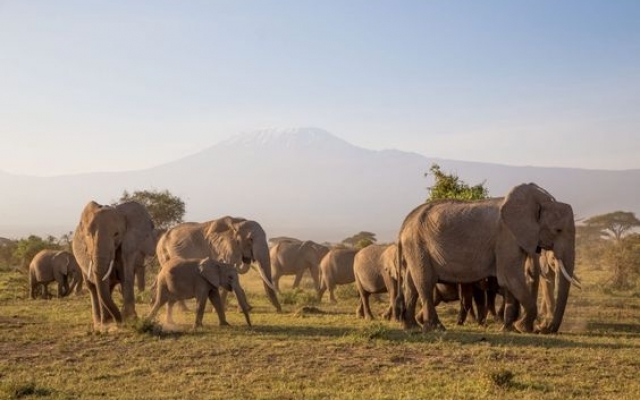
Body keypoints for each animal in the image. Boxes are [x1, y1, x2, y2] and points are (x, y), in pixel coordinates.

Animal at [72, 200, 155, 328]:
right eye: (88, 235)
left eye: (116, 234)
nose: (119, 321)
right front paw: (108, 324)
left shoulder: (128, 245)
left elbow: (126, 276)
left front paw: (131, 319)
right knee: (93, 287)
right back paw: (99, 323)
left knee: (108, 287)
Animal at [398, 183, 576, 332]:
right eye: (558, 230)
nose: (544, 328)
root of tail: (405, 222)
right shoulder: (507, 237)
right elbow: (510, 277)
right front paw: (522, 328)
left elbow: (510, 282)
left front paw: (509, 329)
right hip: (417, 244)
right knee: (425, 282)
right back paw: (436, 328)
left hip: (414, 248)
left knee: (411, 285)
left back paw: (411, 327)